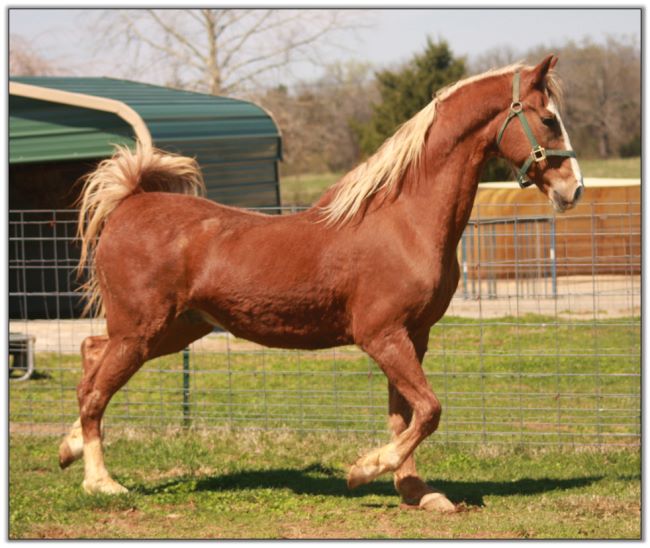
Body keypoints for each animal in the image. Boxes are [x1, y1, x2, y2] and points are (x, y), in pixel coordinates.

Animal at [57, 53, 584, 512]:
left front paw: (417, 492)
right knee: (95, 392)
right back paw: (101, 483)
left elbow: (405, 415)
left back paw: (69, 448)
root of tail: (131, 202)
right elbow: (429, 410)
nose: (573, 190)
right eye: (548, 119)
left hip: (174, 329)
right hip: (142, 331)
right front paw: (364, 469)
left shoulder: (413, 337)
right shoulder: (382, 336)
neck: (404, 220)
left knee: (89, 357)